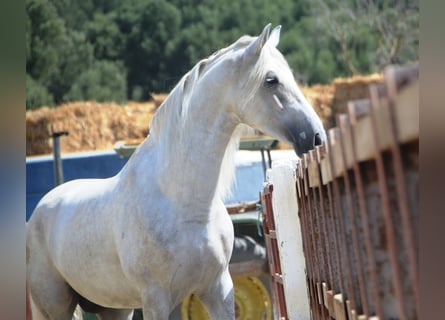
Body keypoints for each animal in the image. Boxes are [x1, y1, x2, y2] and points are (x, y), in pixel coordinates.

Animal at [28, 23, 326, 318]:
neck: (185, 205)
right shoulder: (156, 299)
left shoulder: (218, 289)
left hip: (114, 308)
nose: (316, 137)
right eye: (271, 80)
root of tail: (40, 210)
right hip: (54, 306)